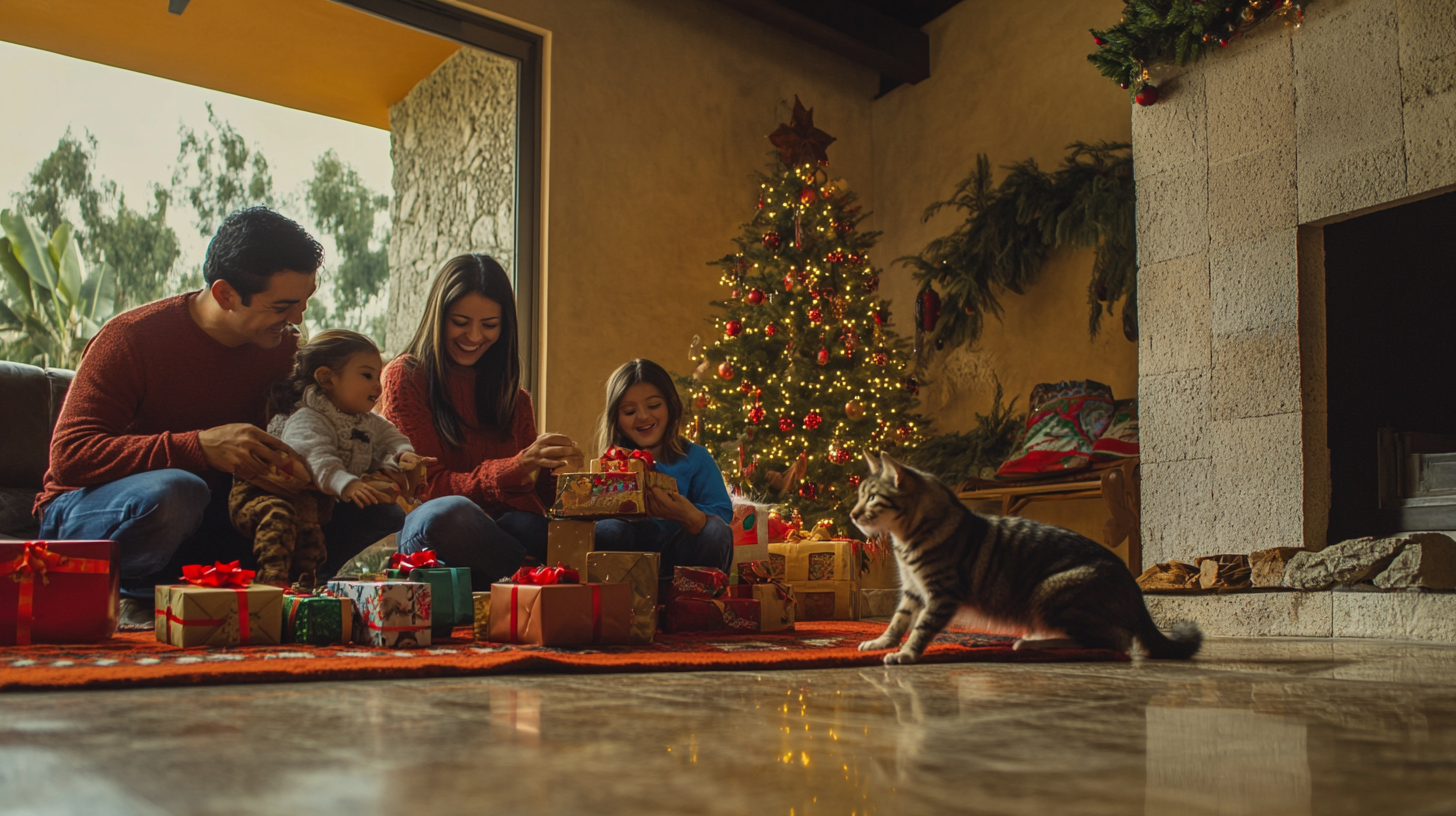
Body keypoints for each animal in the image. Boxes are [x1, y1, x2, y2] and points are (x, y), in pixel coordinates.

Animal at [850, 448, 1199, 667]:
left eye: (872, 498)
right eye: (858, 496)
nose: (852, 514)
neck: (906, 538)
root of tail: (1136, 593)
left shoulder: (942, 593)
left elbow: (921, 628)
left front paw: (906, 654)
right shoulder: (912, 589)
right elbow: (897, 621)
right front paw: (882, 642)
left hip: (1050, 591)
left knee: (1111, 641)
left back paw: (1033, 643)